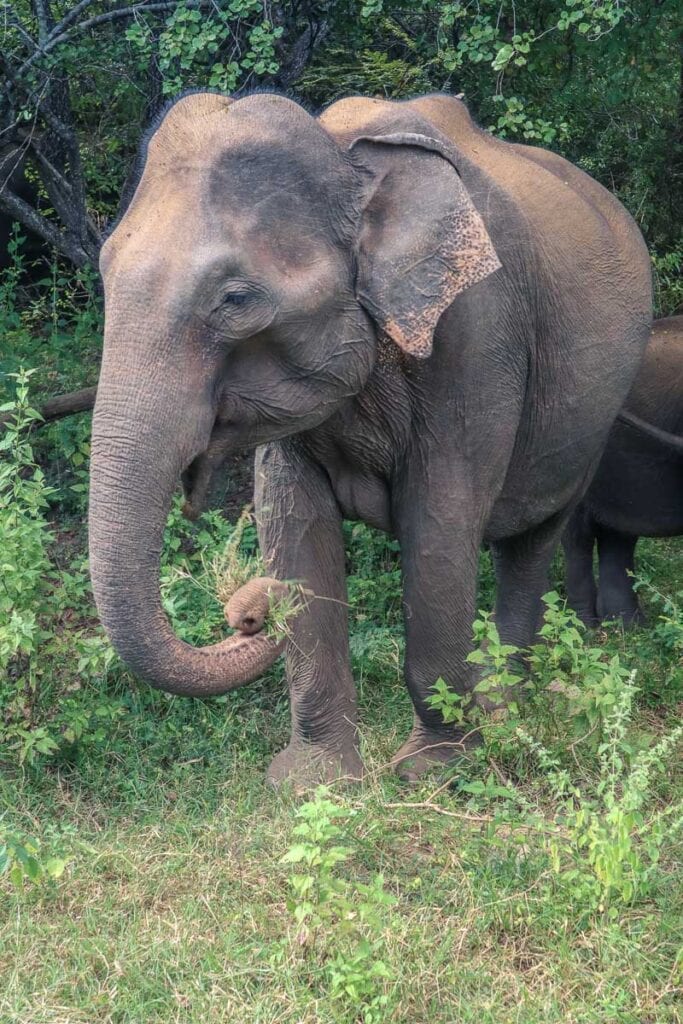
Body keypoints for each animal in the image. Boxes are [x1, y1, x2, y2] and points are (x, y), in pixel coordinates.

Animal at [89, 94, 651, 782]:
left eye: (236, 300)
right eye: (105, 272)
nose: (250, 613)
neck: (344, 155)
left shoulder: (478, 334)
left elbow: (439, 522)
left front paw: (435, 769)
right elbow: (292, 519)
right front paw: (313, 781)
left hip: (593, 417)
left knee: (533, 542)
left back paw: (503, 712)